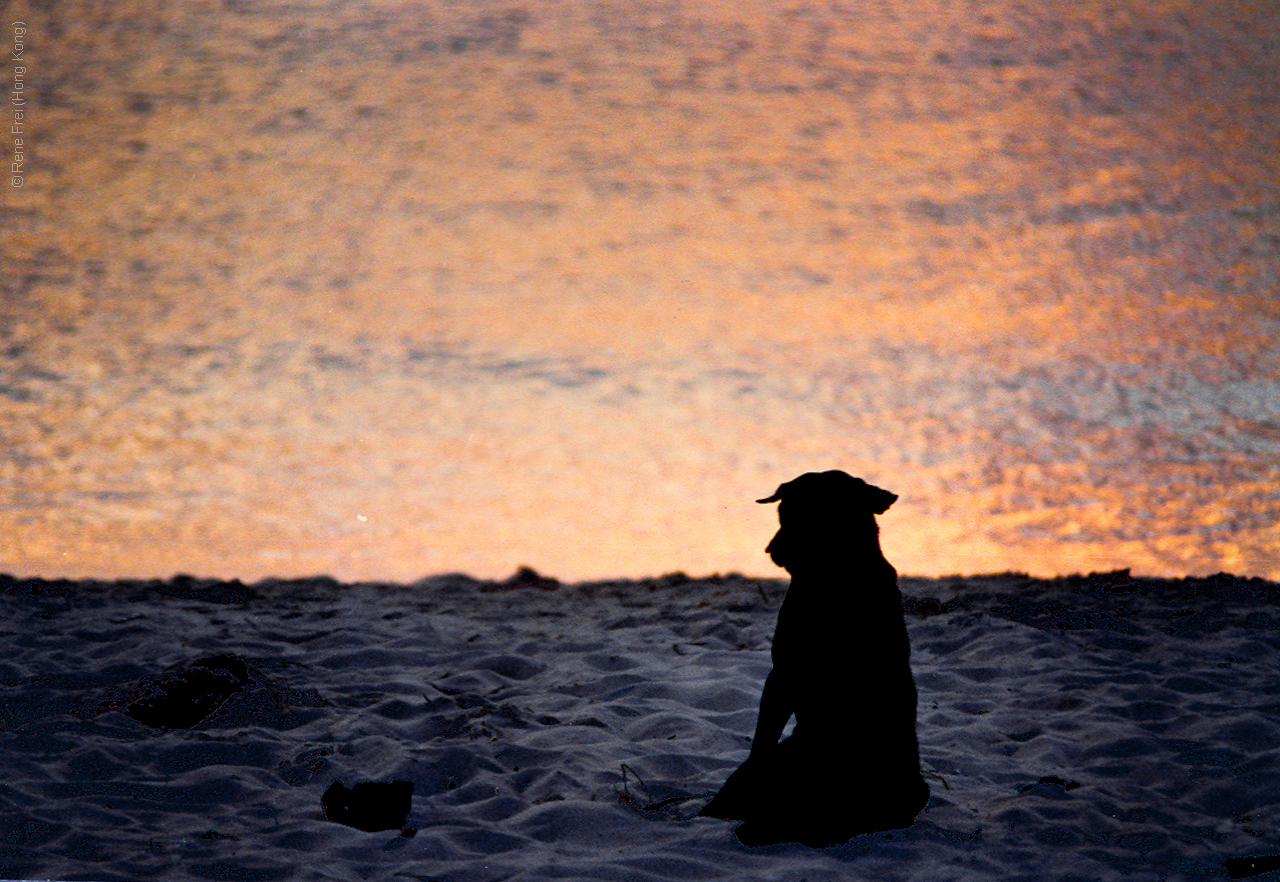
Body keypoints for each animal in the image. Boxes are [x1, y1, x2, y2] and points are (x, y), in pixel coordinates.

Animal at [701, 471, 931, 844]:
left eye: (814, 515)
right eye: (783, 513)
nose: (773, 550)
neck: (830, 580)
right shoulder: (782, 673)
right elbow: (761, 745)